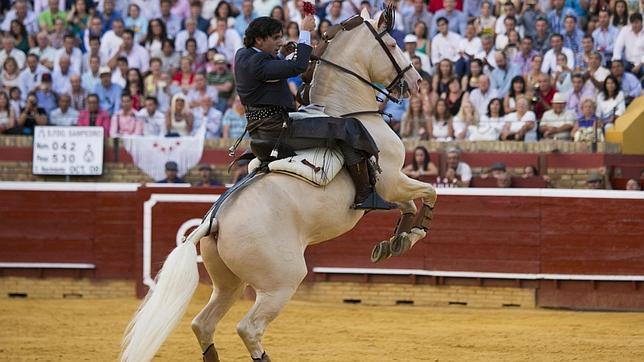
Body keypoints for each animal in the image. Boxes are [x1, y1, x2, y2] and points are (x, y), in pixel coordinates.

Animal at [121, 8, 438, 362]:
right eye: (393, 45)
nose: (417, 82)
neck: (349, 109)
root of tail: (214, 222)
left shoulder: (390, 188)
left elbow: (409, 204)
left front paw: (396, 241)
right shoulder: (392, 180)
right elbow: (430, 192)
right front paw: (413, 233)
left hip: (229, 283)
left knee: (202, 324)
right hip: (281, 282)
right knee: (248, 328)